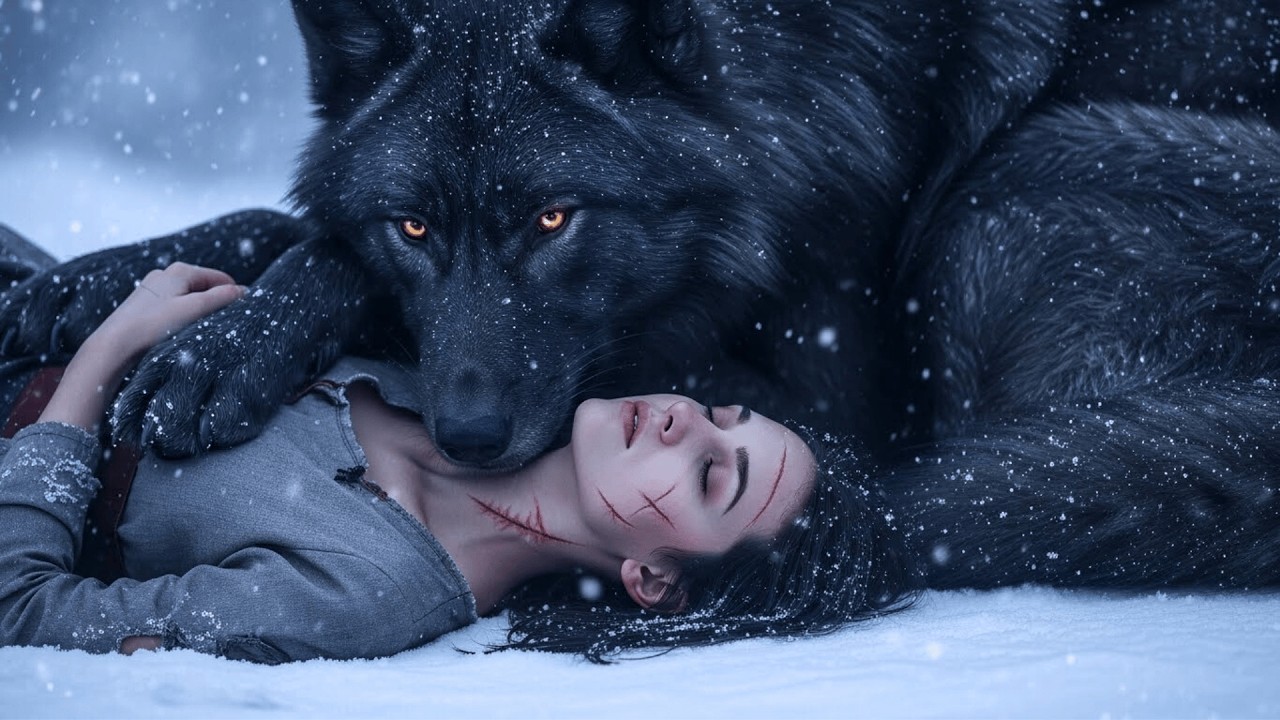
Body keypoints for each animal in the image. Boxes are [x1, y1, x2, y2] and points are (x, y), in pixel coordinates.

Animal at [3, 1, 1279, 586]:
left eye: (554, 221)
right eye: (414, 224)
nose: (466, 437)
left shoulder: (830, 386)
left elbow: (312, 248)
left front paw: (216, 347)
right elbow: (284, 223)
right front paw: (79, 286)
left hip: (1018, 179)